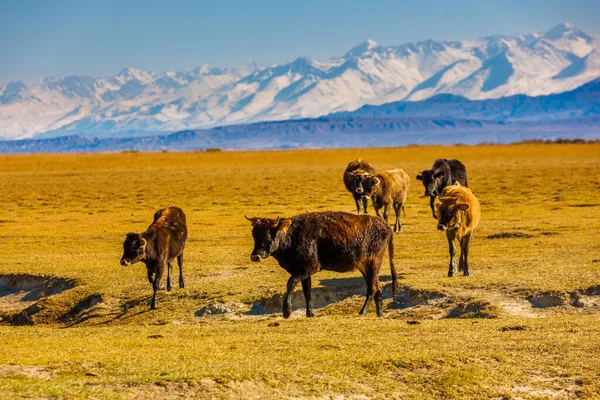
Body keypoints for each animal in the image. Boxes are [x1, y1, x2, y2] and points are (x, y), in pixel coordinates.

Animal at [244, 211, 398, 318]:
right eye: (254, 235)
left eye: (268, 237)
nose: (255, 256)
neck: (291, 237)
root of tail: (385, 225)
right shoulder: (303, 271)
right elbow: (307, 292)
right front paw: (310, 313)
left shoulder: (310, 267)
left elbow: (290, 282)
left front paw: (287, 311)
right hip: (365, 266)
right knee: (377, 287)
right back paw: (379, 314)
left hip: (374, 261)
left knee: (372, 288)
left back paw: (362, 312)